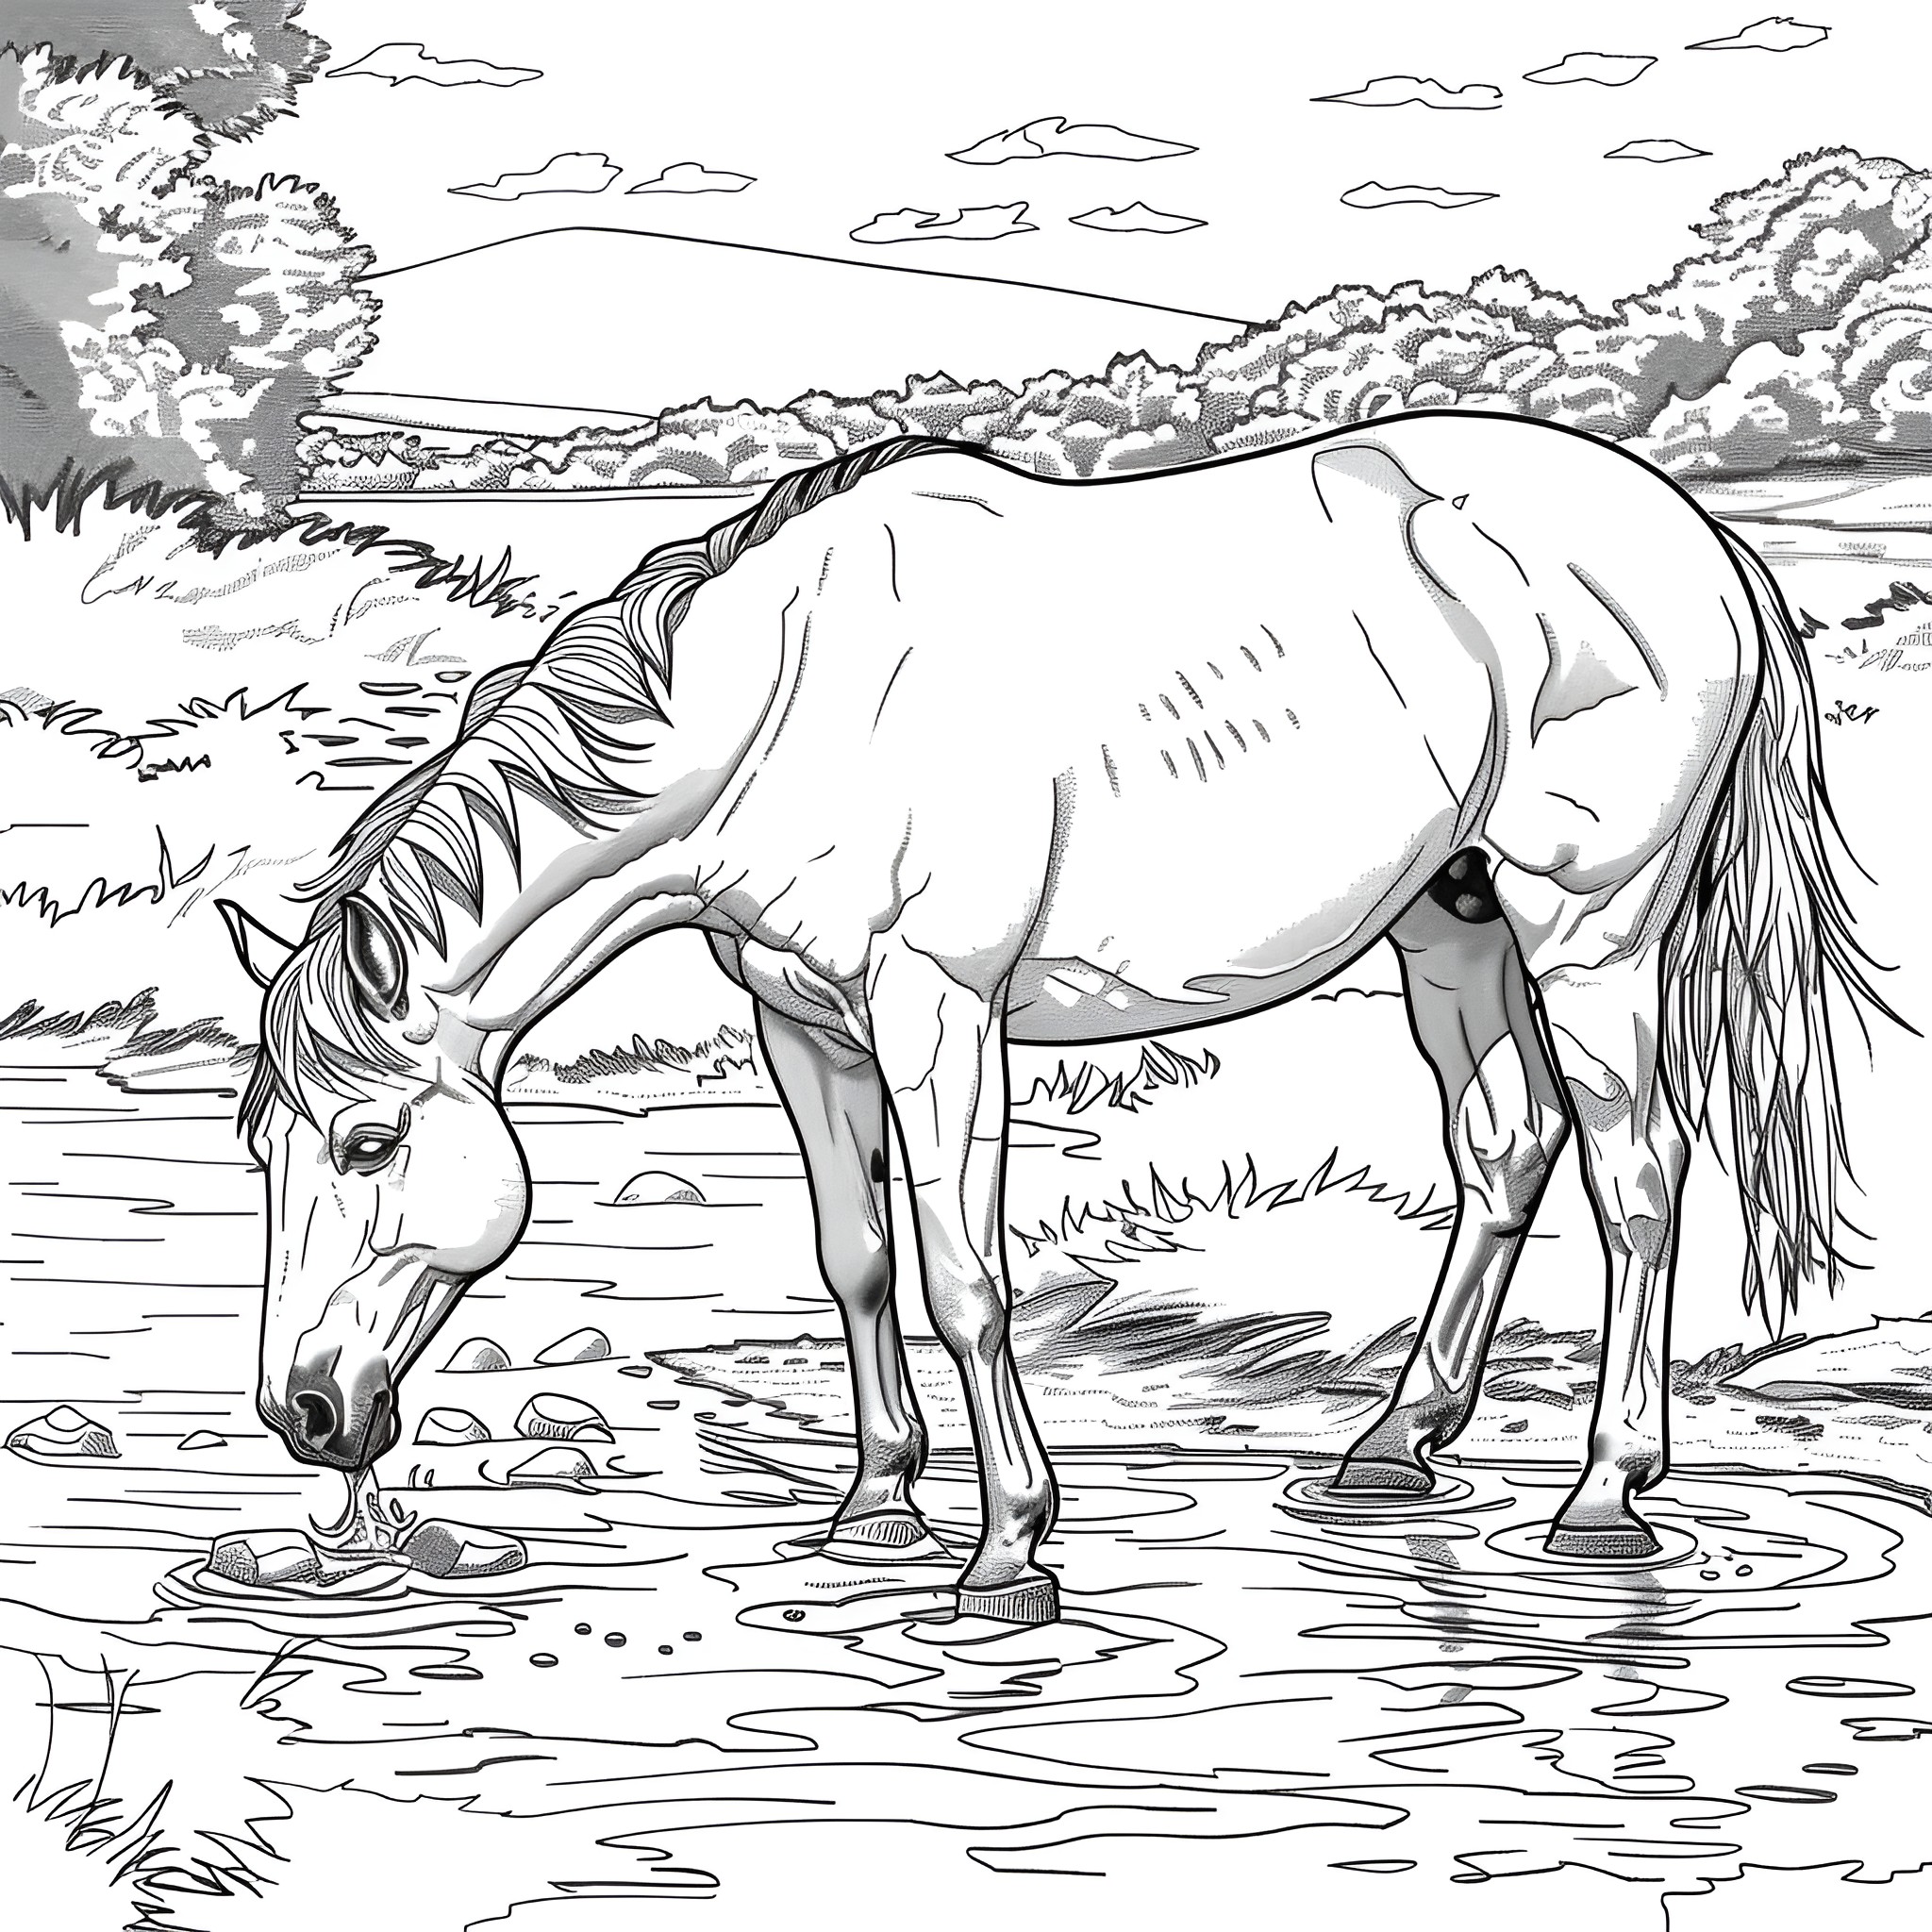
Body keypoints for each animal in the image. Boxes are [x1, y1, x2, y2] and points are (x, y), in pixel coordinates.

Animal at [222, 411, 1884, 1626]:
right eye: (261, 1150)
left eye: (369, 1143)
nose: (307, 1417)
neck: (796, 701)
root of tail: (1701, 536)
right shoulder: (803, 1025)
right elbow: (857, 1257)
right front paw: (874, 1505)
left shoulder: (937, 1014)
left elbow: (966, 1276)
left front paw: (1008, 1552)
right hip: (1450, 919)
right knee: (1506, 1142)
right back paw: (1391, 1452)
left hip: (1590, 930)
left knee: (1638, 1172)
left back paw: (1603, 1501)